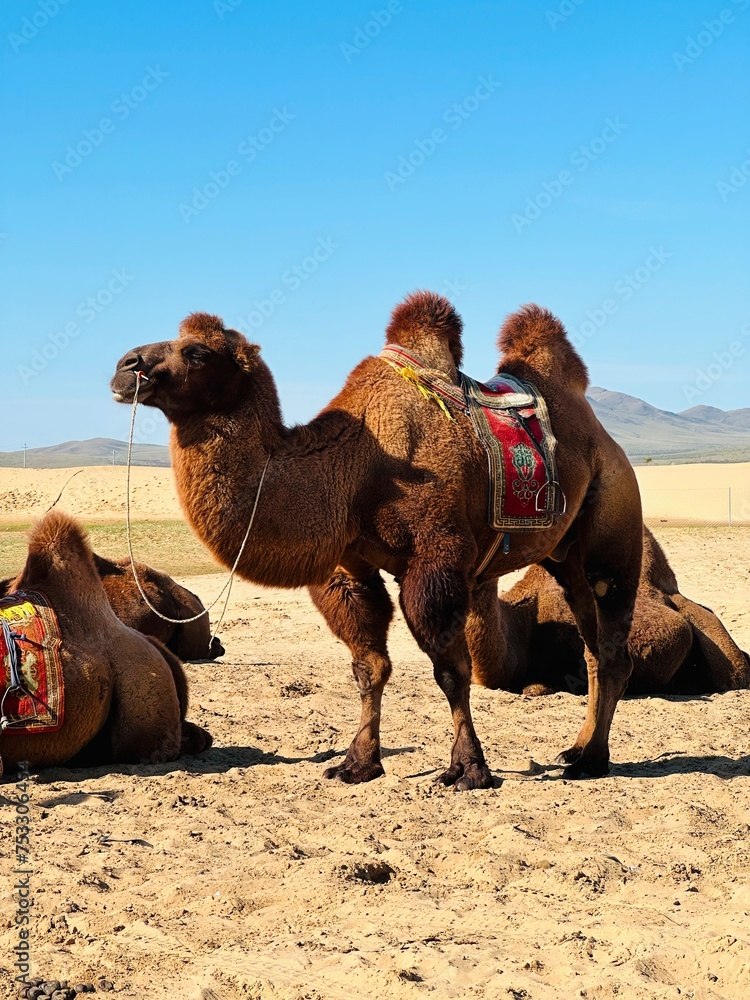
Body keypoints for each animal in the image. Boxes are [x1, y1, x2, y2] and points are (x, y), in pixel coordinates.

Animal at [111, 292, 643, 789]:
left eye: (197, 351)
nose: (125, 367)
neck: (357, 467)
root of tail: (603, 435)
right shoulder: (349, 567)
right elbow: (370, 667)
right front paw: (358, 764)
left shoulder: (435, 558)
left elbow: (451, 671)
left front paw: (469, 769)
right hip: (563, 557)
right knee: (592, 650)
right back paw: (577, 749)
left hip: (612, 525)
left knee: (613, 646)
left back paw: (593, 761)